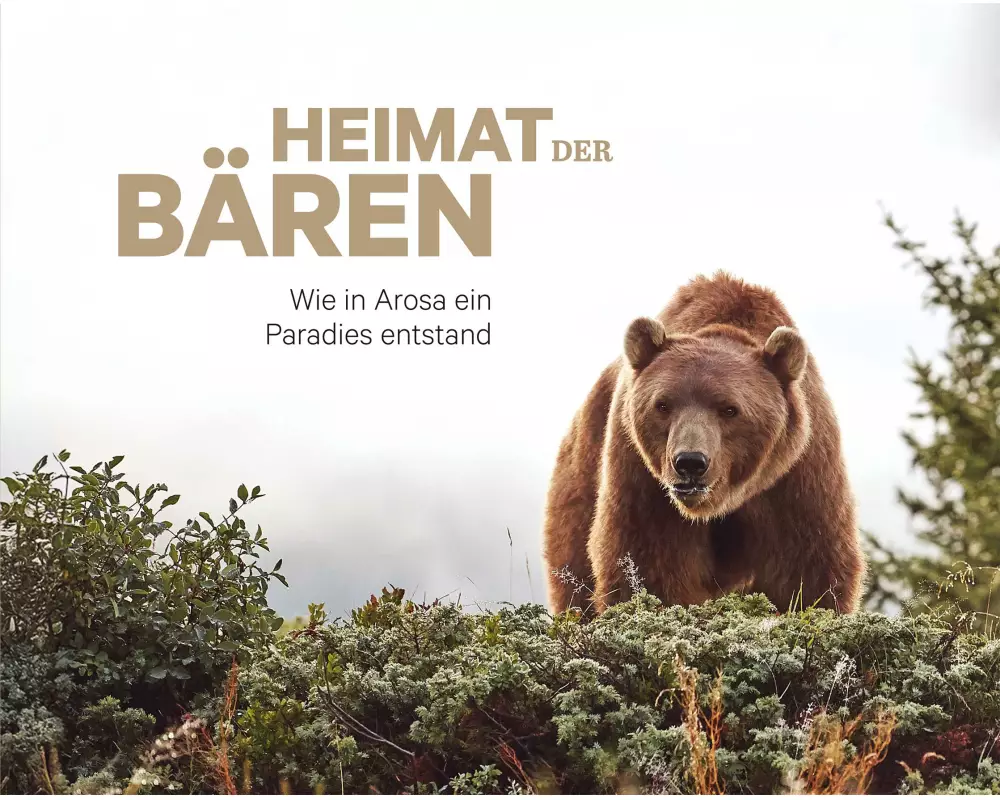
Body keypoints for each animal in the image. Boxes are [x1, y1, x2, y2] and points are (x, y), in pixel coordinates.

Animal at [542, 272, 865, 615]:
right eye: (663, 404)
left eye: (730, 409)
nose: (690, 463)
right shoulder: (642, 478)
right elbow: (648, 561)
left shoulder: (798, 475)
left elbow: (807, 569)